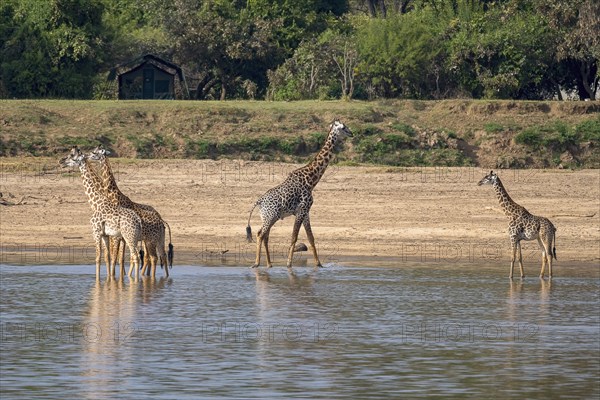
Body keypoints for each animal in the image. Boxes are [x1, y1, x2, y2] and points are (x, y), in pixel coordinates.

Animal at [59, 147, 142, 278]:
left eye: (72, 156)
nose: (61, 161)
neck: (96, 202)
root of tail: (139, 221)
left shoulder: (96, 232)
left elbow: (98, 258)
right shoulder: (105, 234)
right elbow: (107, 256)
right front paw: (109, 279)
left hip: (129, 236)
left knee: (136, 256)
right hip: (133, 237)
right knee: (137, 256)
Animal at [88, 147, 175, 278]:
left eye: (95, 152)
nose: (86, 156)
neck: (113, 194)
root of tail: (161, 219)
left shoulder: (118, 235)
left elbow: (118, 256)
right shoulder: (119, 235)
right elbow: (119, 256)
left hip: (148, 240)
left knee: (151, 257)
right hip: (152, 239)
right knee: (159, 256)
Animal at [247, 119, 354, 268]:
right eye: (343, 127)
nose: (352, 133)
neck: (311, 180)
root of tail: (259, 201)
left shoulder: (306, 212)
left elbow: (311, 237)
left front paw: (319, 264)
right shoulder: (301, 210)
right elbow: (294, 237)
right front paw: (289, 264)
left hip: (268, 217)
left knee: (264, 235)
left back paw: (269, 264)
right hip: (271, 216)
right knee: (260, 235)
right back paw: (256, 263)